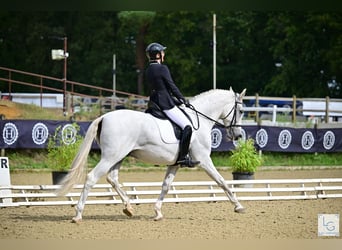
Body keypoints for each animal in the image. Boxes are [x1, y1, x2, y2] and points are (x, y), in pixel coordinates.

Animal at [58, 87, 246, 222]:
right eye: (241, 110)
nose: (237, 136)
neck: (198, 119)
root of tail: (104, 117)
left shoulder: (175, 163)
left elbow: (166, 186)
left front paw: (157, 212)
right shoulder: (204, 160)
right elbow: (221, 181)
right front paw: (238, 206)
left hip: (119, 156)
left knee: (112, 178)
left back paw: (128, 207)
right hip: (111, 156)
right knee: (92, 177)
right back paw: (78, 215)